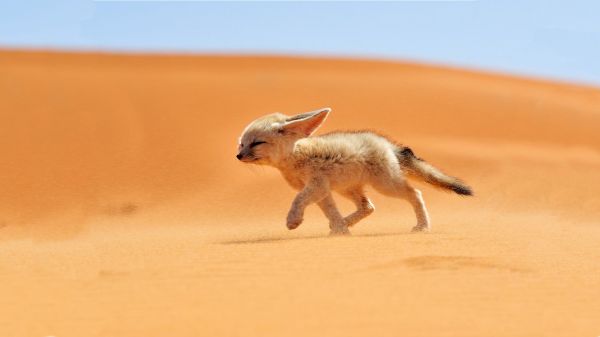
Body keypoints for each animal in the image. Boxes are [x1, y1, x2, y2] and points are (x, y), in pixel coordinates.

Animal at [237, 107, 472, 234]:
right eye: (241, 144)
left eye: (256, 143)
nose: (238, 156)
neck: (295, 158)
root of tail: (387, 144)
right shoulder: (322, 191)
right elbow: (330, 212)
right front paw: (341, 231)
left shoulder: (316, 185)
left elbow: (297, 200)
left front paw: (293, 220)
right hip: (348, 189)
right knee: (368, 207)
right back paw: (345, 223)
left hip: (386, 185)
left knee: (415, 193)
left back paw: (423, 226)